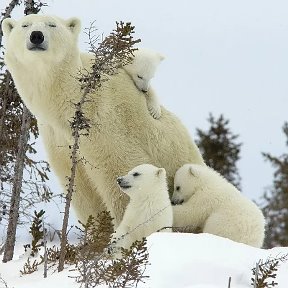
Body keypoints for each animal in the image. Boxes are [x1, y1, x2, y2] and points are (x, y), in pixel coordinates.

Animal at [2, 14, 205, 226]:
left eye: (52, 24)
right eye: (25, 25)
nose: (36, 36)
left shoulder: (104, 121)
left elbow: (120, 174)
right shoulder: (58, 137)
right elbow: (82, 191)